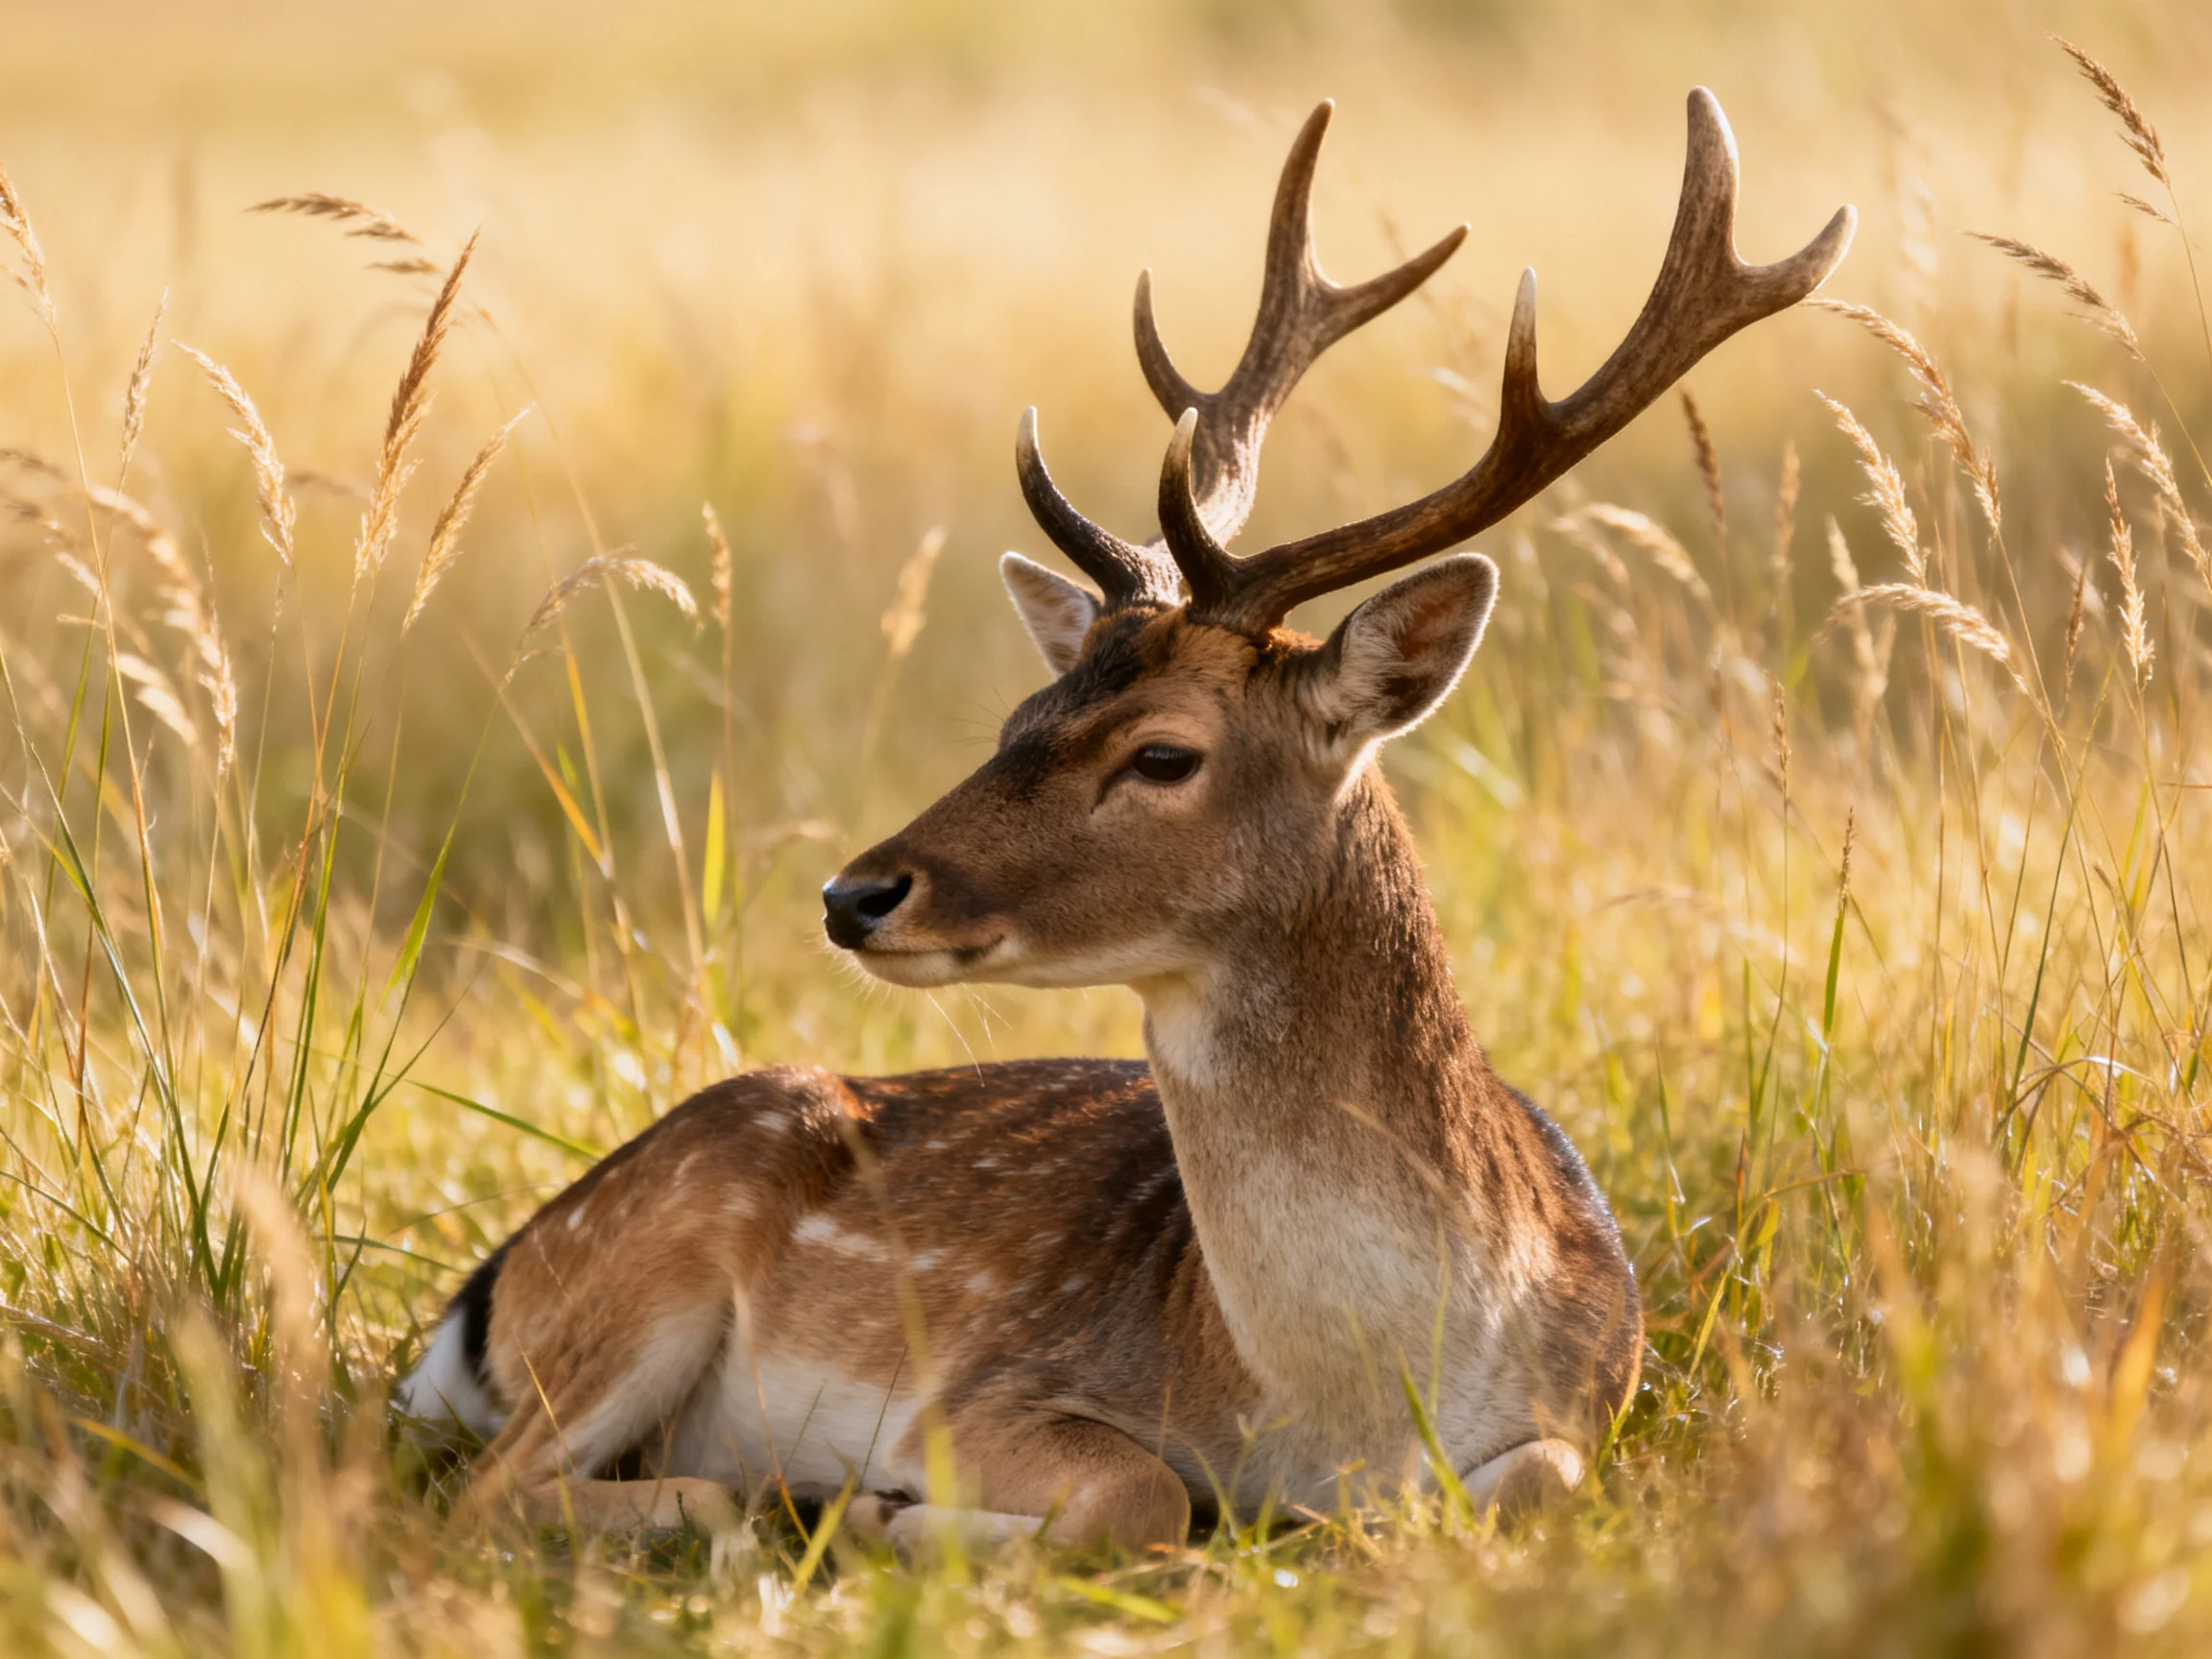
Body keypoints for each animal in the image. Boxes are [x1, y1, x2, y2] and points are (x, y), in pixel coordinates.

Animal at [398, 90, 1852, 1553]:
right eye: (1018, 717)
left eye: (1161, 753)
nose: (855, 894)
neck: (1347, 1412)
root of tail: (489, 1288)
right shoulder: (985, 1388)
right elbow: (1146, 1489)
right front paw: (898, 1514)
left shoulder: (1597, 1396)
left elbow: (1537, 1480)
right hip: (663, 1241)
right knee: (487, 1496)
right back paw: (792, 1499)